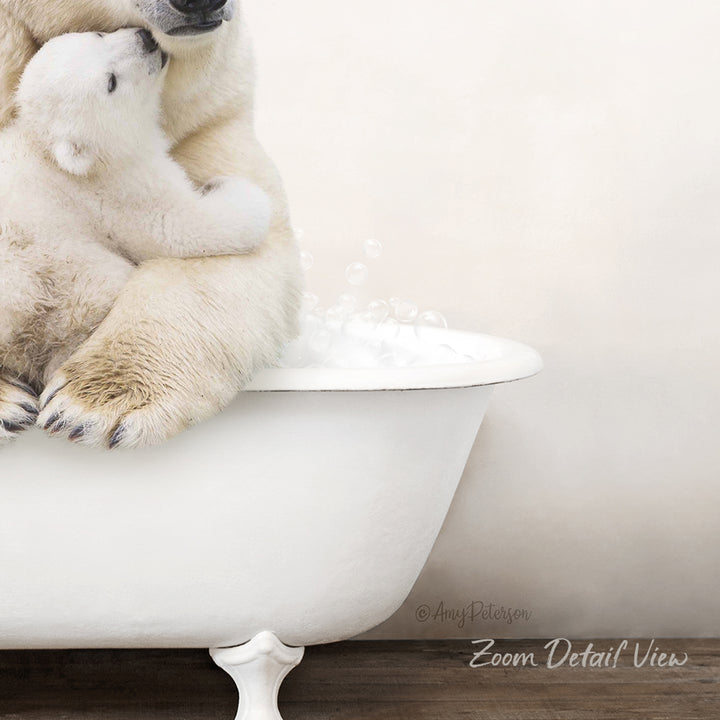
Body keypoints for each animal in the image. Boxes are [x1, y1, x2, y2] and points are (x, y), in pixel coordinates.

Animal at [0, 0, 303, 449]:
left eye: (99, 36)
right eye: (110, 83)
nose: (200, 4)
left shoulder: (211, 107)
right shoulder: (122, 183)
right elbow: (187, 227)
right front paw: (86, 407)